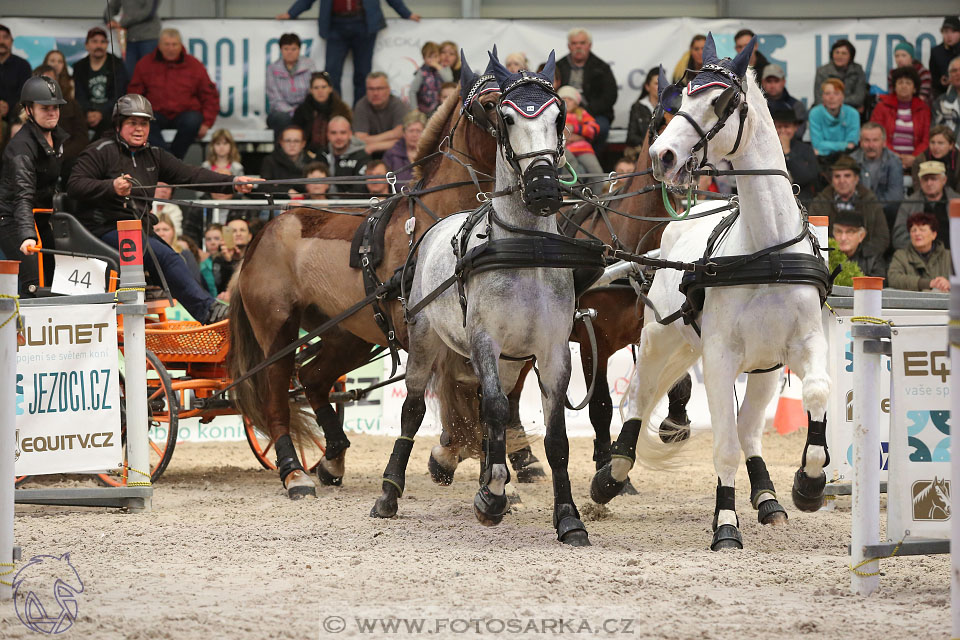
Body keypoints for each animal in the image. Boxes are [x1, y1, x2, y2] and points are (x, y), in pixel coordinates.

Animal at [230, 57, 506, 498]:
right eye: (490, 103)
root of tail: (264, 232)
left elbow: (482, 397)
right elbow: (450, 399)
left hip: (350, 334)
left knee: (312, 378)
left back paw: (332, 458)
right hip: (277, 331)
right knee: (276, 399)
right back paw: (294, 472)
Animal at [370, 50, 588, 548]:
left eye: (560, 116)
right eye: (506, 116)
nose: (543, 186)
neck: (525, 251)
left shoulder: (552, 352)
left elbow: (555, 438)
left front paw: (568, 518)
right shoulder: (485, 341)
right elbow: (490, 409)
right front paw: (490, 497)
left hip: (509, 360)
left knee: (497, 408)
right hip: (425, 340)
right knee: (416, 408)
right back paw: (390, 494)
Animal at [426, 131, 688, 490]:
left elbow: (680, 381)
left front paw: (675, 423)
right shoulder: (595, 342)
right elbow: (601, 406)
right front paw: (607, 468)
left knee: (506, 396)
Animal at [588, 36, 828, 552]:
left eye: (722, 101)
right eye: (677, 100)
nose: (663, 154)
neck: (766, 251)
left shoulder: (802, 346)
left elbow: (816, 392)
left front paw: (809, 484)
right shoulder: (719, 358)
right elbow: (723, 447)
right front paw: (726, 526)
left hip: (760, 367)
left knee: (750, 429)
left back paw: (769, 499)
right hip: (659, 339)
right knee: (638, 399)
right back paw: (611, 477)